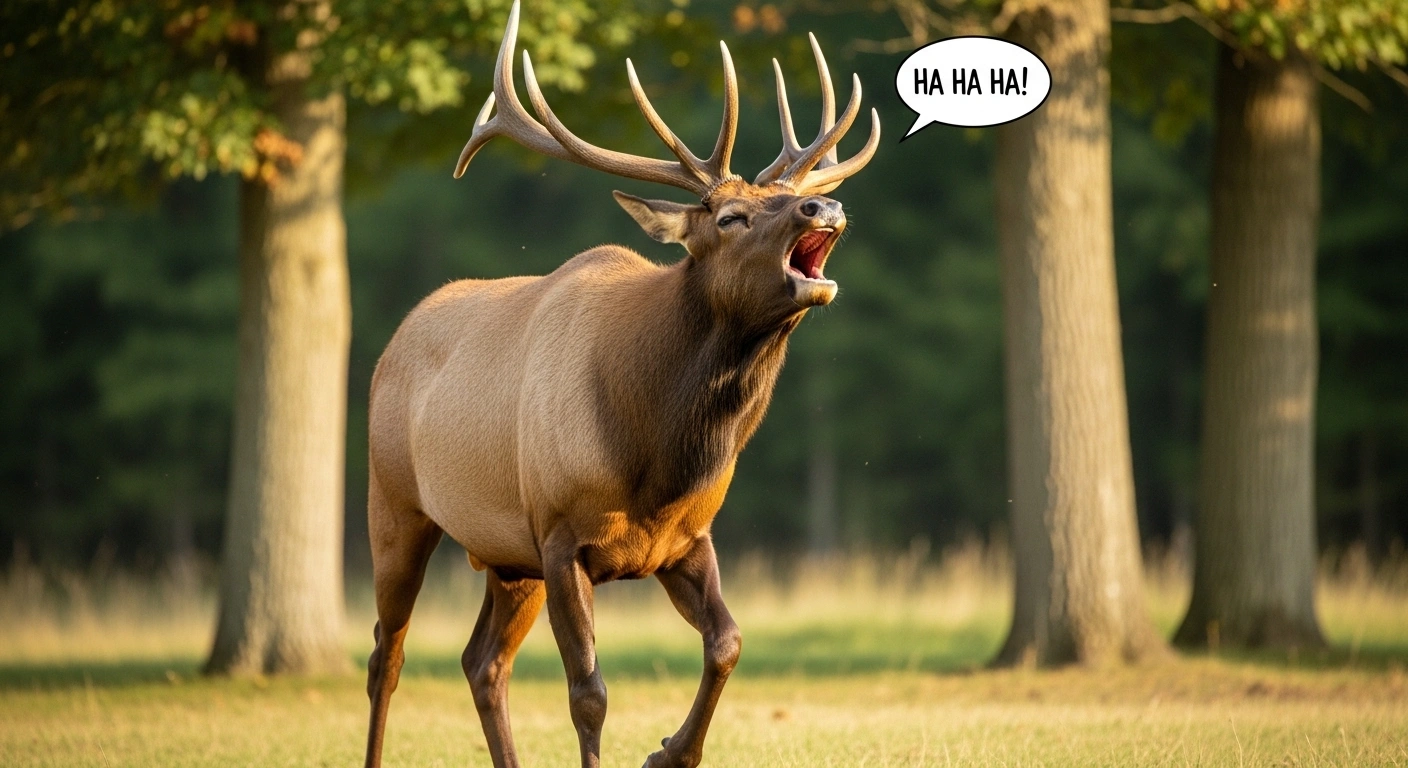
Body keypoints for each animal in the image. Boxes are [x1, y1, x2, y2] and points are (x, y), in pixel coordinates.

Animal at [362, 3, 879, 767]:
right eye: (729, 217)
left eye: (789, 197)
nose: (826, 208)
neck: (652, 451)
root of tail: (392, 343)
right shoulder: (559, 535)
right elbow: (589, 694)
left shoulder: (685, 539)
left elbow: (728, 642)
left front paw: (670, 750)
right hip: (395, 503)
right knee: (386, 655)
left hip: (505, 558)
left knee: (481, 662)